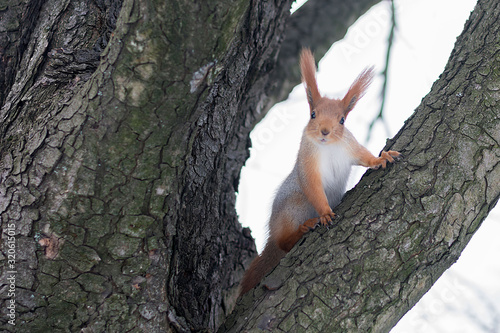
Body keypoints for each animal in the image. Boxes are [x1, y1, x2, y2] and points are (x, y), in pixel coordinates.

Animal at [239, 48, 402, 294]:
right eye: (313, 114)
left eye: (342, 120)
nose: (325, 131)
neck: (329, 147)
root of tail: (272, 235)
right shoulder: (307, 162)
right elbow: (313, 186)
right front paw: (325, 212)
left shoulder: (350, 148)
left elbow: (364, 157)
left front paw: (381, 158)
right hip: (293, 207)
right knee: (284, 243)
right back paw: (303, 229)